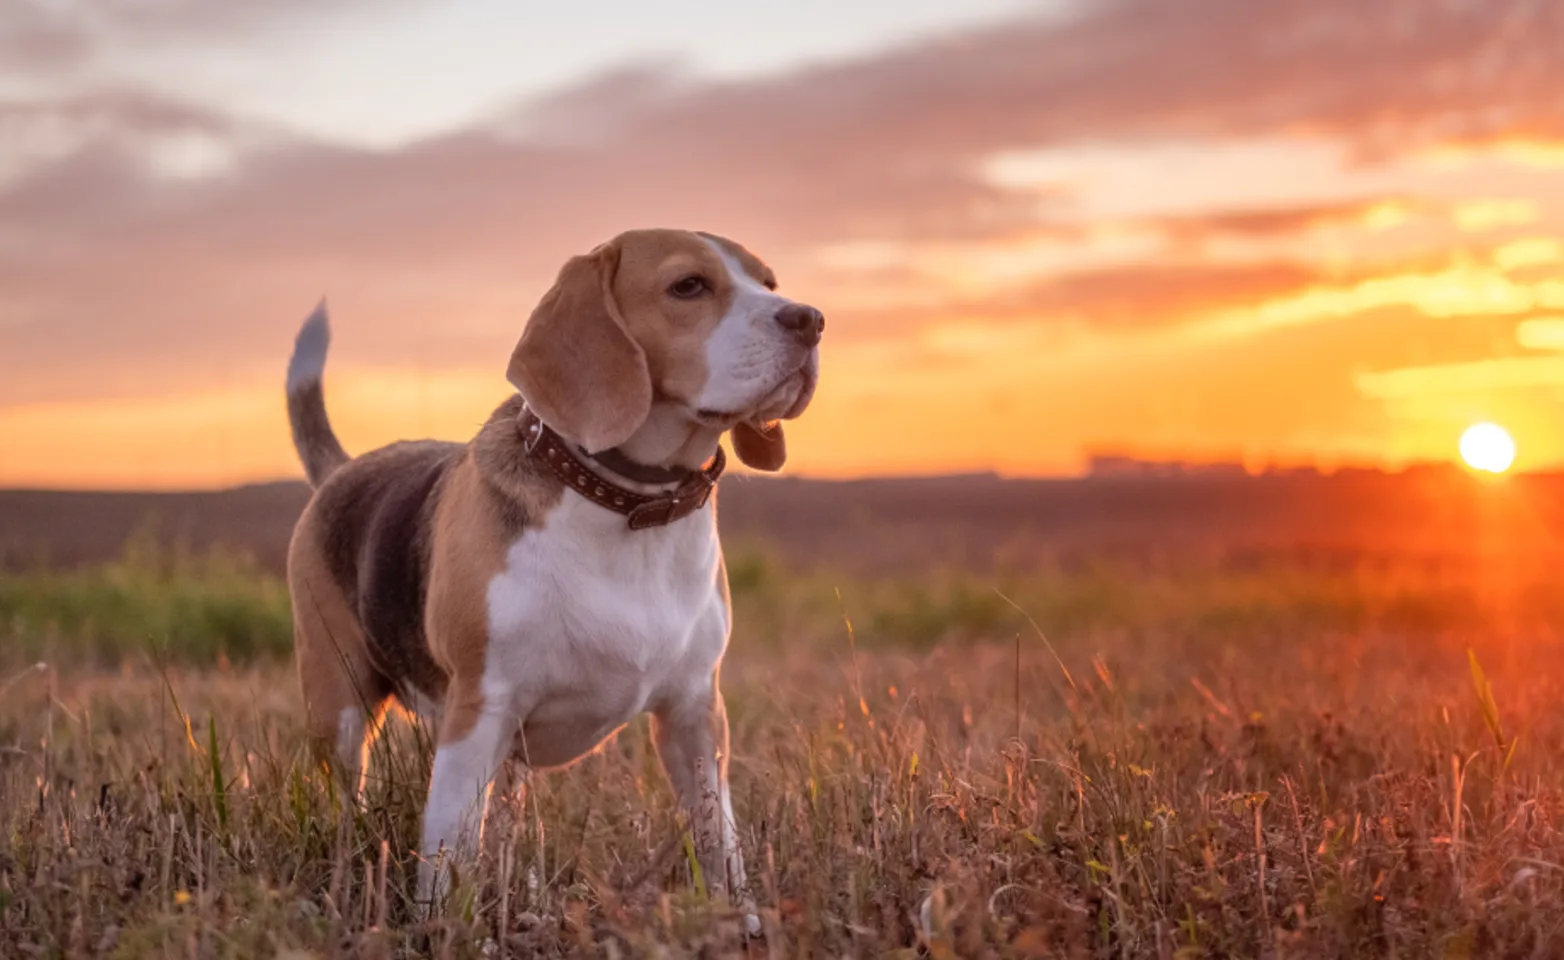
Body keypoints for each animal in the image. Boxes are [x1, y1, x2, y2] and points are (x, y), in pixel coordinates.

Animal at [283, 228, 825, 925]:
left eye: (768, 283)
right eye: (688, 286)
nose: (811, 320)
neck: (630, 507)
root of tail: (345, 470)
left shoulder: (696, 713)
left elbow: (717, 833)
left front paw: (740, 917)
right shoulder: (477, 714)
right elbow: (448, 852)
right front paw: (443, 933)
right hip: (340, 706)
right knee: (349, 804)